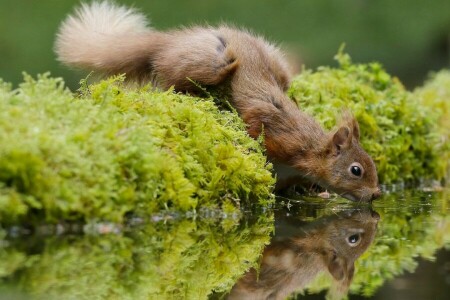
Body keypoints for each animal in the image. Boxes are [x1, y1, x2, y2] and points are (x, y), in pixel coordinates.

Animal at [54, 1, 382, 202]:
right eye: (356, 170)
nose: (377, 193)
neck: (309, 147)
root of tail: (173, 40)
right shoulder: (273, 123)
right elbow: (254, 124)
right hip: (214, 62)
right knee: (171, 79)